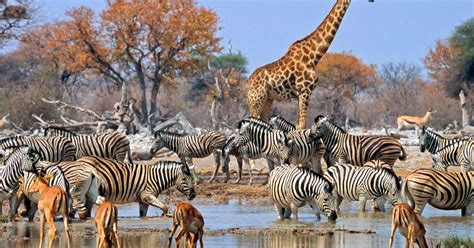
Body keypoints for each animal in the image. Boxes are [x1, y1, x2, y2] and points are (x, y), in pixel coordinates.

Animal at [250, 0, 358, 130]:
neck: (313, 56)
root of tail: (247, 83)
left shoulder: (299, 95)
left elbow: (298, 125)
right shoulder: (305, 91)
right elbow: (302, 125)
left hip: (268, 99)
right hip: (256, 100)